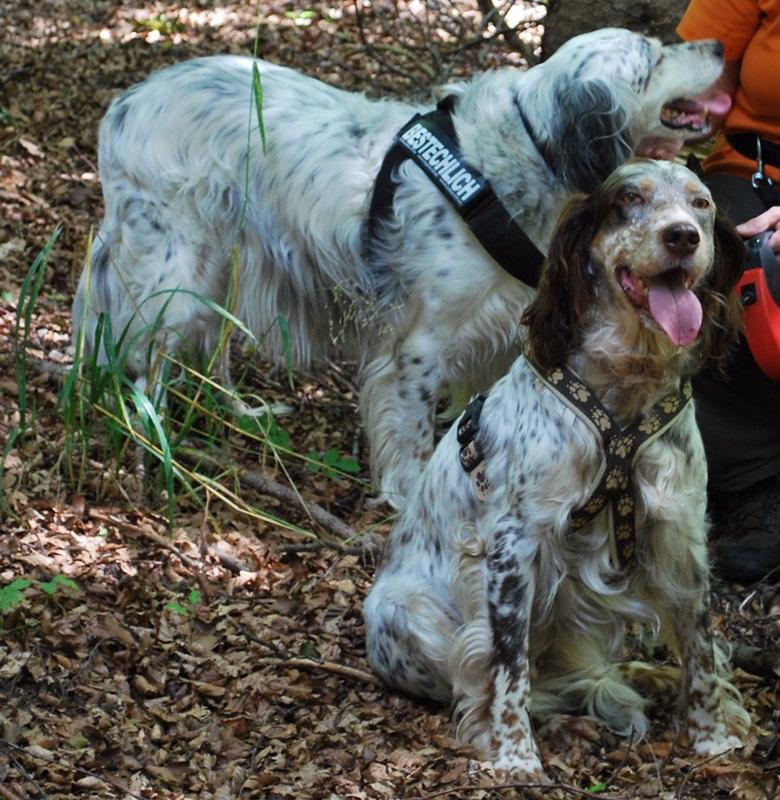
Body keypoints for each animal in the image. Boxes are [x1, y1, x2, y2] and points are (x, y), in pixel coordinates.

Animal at [74, 31, 732, 506]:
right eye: (654, 56)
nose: (721, 47)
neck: (517, 161)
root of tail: (124, 106)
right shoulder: (418, 347)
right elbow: (412, 434)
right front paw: (412, 498)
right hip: (177, 271)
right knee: (144, 367)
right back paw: (155, 451)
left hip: (224, 268)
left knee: (210, 351)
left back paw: (241, 416)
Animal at [362, 159, 752, 780]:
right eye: (628, 199)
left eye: (702, 204)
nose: (682, 237)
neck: (624, 392)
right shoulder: (512, 547)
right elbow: (507, 667)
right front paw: (515, 754)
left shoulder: (682, 530)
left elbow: (699, 645)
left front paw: (710, 734)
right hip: (402, 615)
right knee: (489, 682)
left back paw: (644, 676)